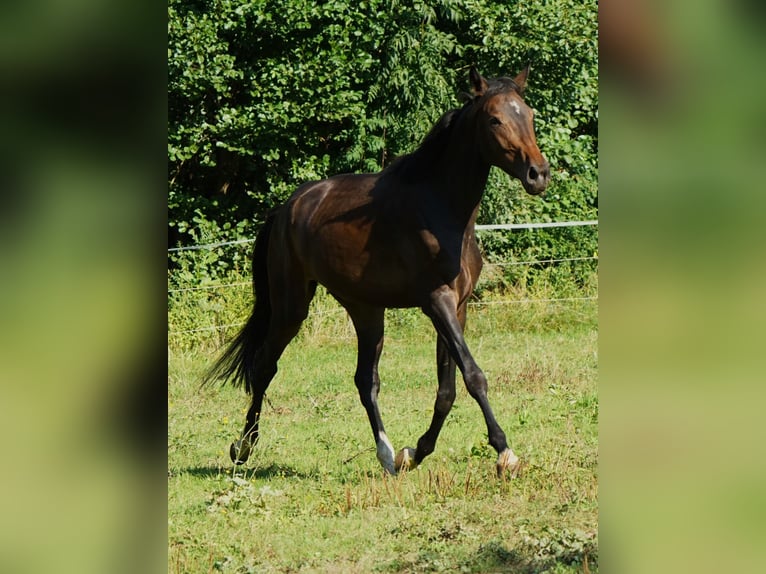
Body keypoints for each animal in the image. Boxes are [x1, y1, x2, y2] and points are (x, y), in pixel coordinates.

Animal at [206, 67, 552, 480]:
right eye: (495, 119)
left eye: (529, 115)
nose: (538, 174)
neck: (442, 211)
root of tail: (288, 206)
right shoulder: (437, 301)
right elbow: (473, 375)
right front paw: (504, 452)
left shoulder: (458, 307)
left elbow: (447, 389)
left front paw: (415, 452)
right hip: (292, 306)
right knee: (264, 367)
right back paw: (242, 448)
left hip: (366, 309)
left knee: (365, 380)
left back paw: (387, 455)